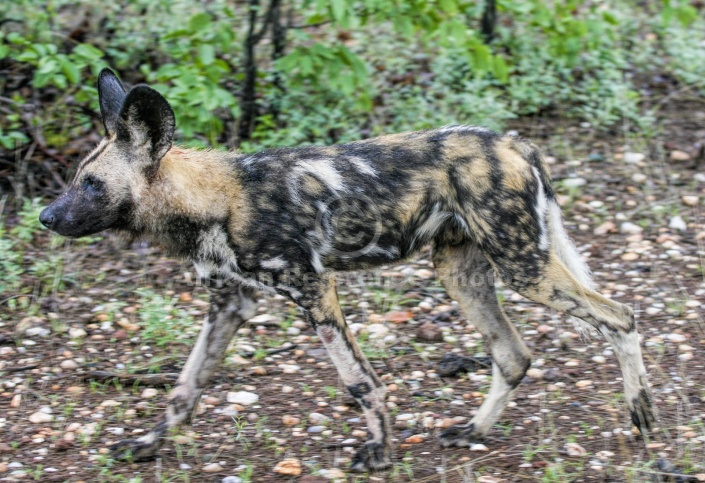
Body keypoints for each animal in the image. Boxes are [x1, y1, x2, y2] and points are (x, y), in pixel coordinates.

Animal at [40, 70, 656, 470]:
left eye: (91, 185)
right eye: (74, 179)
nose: (44, 216)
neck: (212, 200)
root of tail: (515, 142)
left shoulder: (315, 290)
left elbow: (361, 382)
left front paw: (381, 453)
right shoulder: (230, 304)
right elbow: (183, 387)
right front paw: (147, 445)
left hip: (523, 267)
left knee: (620, 316)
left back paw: (641, 417)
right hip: (460, 271)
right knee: (513, 354)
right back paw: (473, 430)